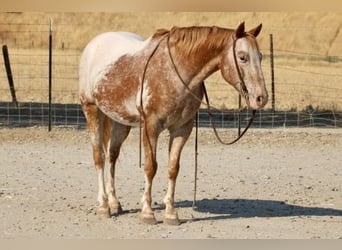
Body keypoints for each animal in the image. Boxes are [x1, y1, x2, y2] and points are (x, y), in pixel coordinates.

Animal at [79, 21, 268, 225]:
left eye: (260, 57)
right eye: (242, 57)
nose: (261, 98)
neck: (175, 72)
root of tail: (93, 44)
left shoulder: (182, 129)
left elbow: (173, 168)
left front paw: (170, 213)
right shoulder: (151, 127)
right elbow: (150, 167)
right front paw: (147, 213)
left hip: (121, 121)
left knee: (112, 156)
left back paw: (115, 203)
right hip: (92, 110)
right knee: (99, 157)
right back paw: (104, 206)